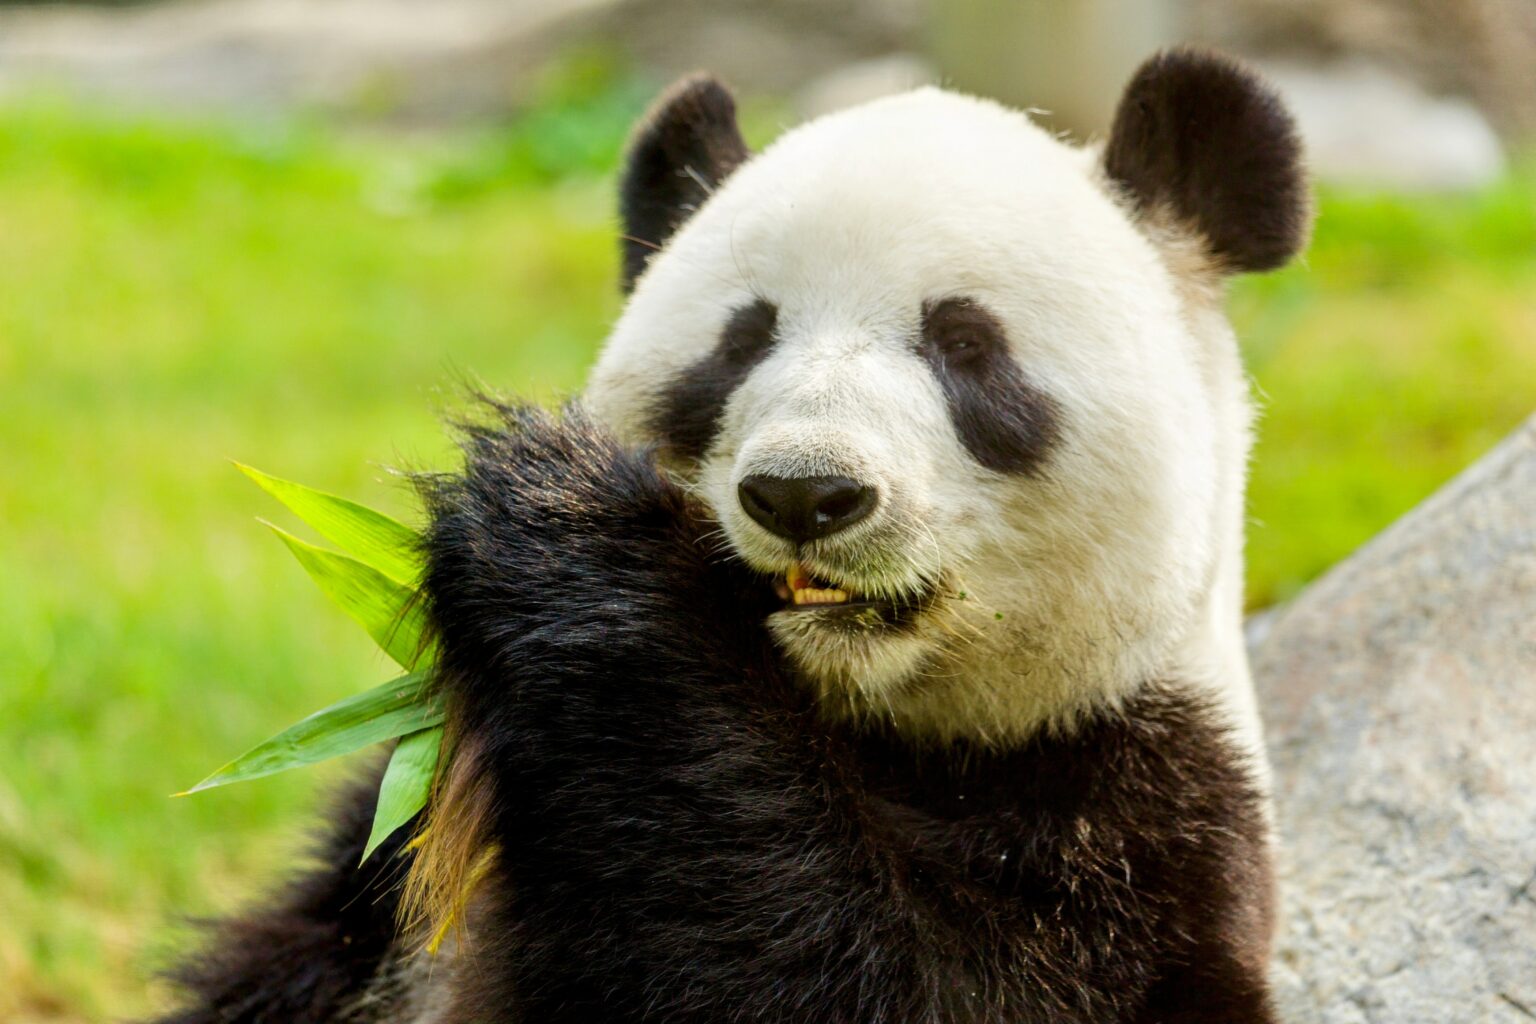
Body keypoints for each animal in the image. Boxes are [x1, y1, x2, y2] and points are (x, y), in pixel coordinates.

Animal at [154, 48, 1309, 1023]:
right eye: (741, 342)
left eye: (967, 345)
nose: (805, 494)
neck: (862, 716)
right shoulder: (399, 839)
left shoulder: (1143, 824)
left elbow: (868, 971)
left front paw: (565, 523)